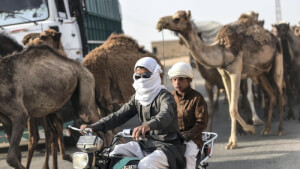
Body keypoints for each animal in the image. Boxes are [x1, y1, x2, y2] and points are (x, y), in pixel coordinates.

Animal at [0, 32, 99, 168]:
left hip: (85, 83)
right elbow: (17, 155)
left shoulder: (20, 114)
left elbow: (11, 158)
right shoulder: (6, 120)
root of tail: (83, 66)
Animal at [156, 10, 284, 149]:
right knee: (271, 93)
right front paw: (232, 141)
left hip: (277, 60)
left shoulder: (236, 71)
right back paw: (267, 129)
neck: (221, 51)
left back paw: (279, 130)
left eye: (177, 19)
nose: (159, 22)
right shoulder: (224, 74)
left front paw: (250, 130)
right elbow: (231, 107)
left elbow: (233, 108)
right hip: (259, 74)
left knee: (279, 91)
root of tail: (274, 38)